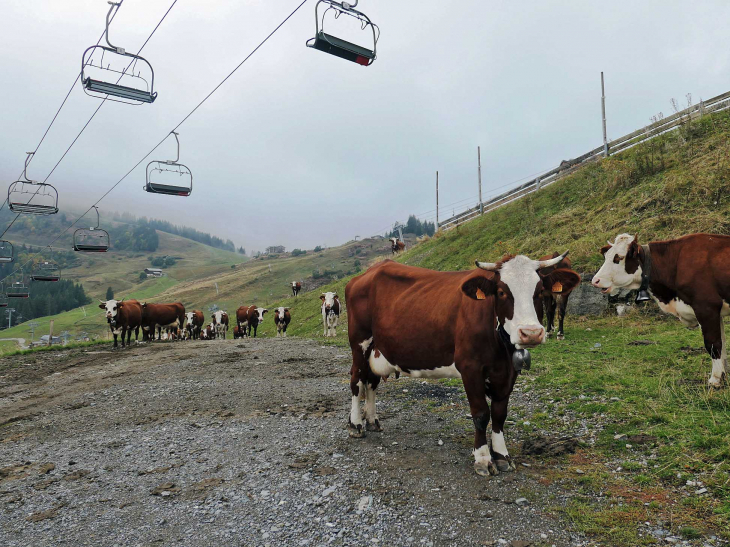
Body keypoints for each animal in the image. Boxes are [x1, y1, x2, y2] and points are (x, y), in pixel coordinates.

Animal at [344, 256, 576, 476]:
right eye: (501, 292)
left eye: (540, 291)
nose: (531, 333)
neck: (500, 347)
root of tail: (367, 273)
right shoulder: (470, 367)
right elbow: (481, 414)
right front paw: (483, 459)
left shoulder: (509, 371)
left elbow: (500, 413)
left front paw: (502, 455)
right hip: (359, 342)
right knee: (356, 381)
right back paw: (356, 424)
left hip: (377, 347)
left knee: (371, 382)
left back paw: (372, 420)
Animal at [592, 233, 728, 388]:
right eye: (606, 256)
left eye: (619, 258)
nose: (595, 280)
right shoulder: (716, 311)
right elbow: (722, 343)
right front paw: (723, 376)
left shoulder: (706, 307)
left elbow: (713, 343)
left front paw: (715, 380)